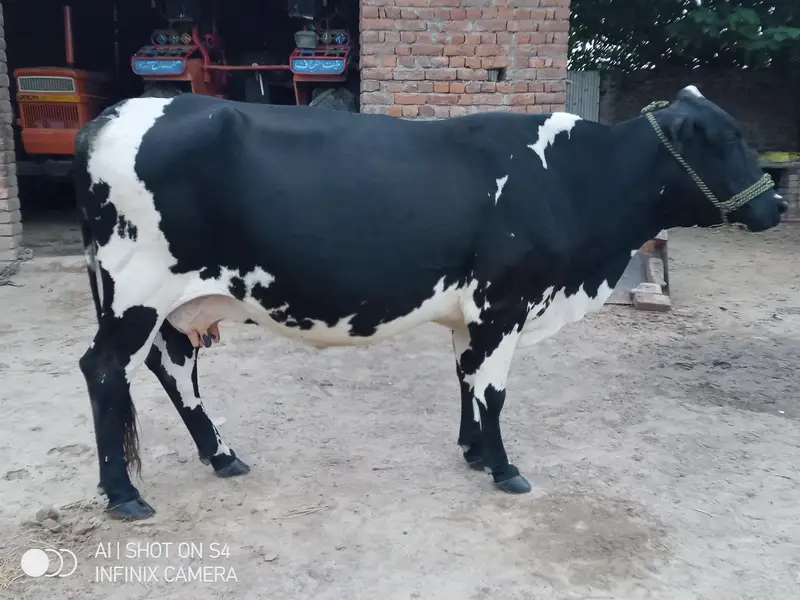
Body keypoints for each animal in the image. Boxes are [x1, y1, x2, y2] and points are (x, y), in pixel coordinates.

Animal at [72, 84, 785, 520]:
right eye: (725, 140)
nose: (777, 205)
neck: (570, 178)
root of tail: (112, 116)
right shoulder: (505, 302)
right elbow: (493, 389)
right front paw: (504, 467)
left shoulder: (472, 309)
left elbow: (466, 378)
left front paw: (473, 451)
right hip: (138, 289)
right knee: (106, 369)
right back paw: (123, 494)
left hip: (175, 302)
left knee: (172, 366)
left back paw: (221, 455)